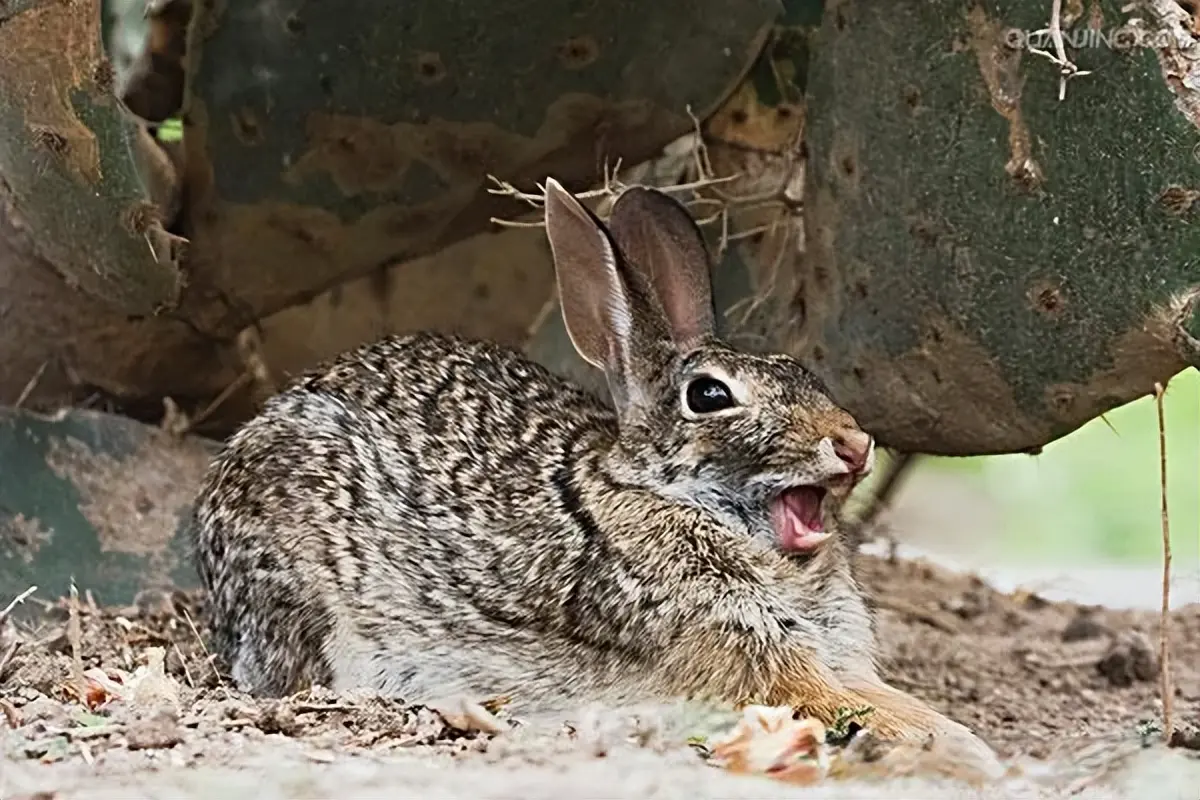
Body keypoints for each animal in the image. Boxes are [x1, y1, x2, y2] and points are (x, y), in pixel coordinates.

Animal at [191, 178, 1003, 779]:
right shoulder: (750, 660)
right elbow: (845, 707)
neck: (656, 495)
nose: (855, 444)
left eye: (801, 370)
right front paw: (966, 753)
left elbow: (881, 696)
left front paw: (959, 739)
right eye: (711, 396)